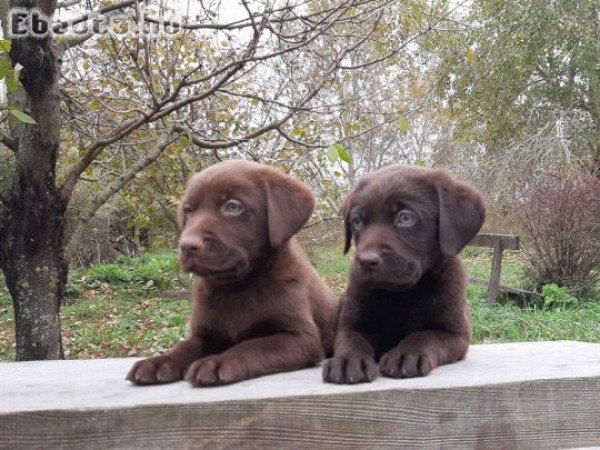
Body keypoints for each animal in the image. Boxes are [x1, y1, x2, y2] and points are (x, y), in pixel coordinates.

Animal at [127, 160, 340, 384]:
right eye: (188, 210)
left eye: (233, 206)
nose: (186, 245)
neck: (236, 287)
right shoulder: (205, 334)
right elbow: (185, 346)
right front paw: (158, 362)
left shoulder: (300, 336)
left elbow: (253, 346)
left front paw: (217, 362)